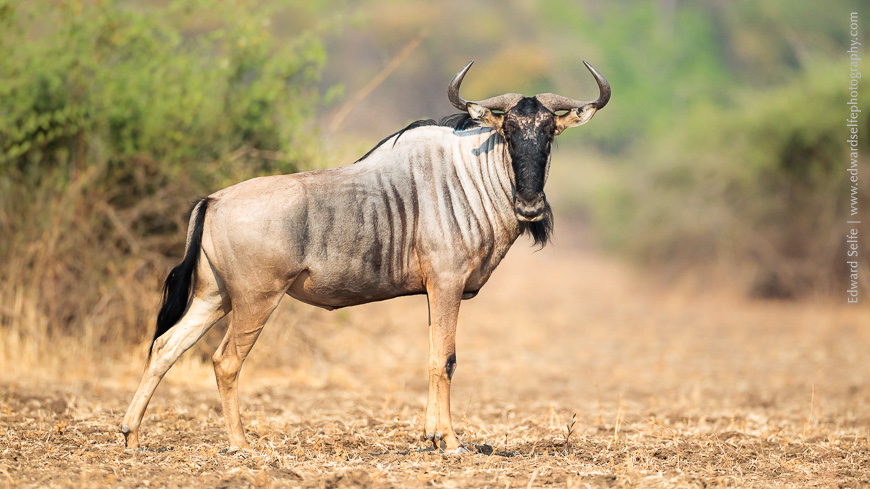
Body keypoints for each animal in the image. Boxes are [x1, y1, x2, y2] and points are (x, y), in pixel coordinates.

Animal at [121, 60, 610, 452]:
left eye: (549, 134)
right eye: (507, 131)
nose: (529, 205)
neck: (471, 175)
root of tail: (213, 200)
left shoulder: (435, 292)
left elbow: (433, 355)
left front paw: (433, 436)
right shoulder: (447, 283)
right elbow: (447, 359)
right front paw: (450, 441)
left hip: (214, 298)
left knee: (165, 346)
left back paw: (132, 435)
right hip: (255, 301)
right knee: (224, 361)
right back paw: (241, 445)